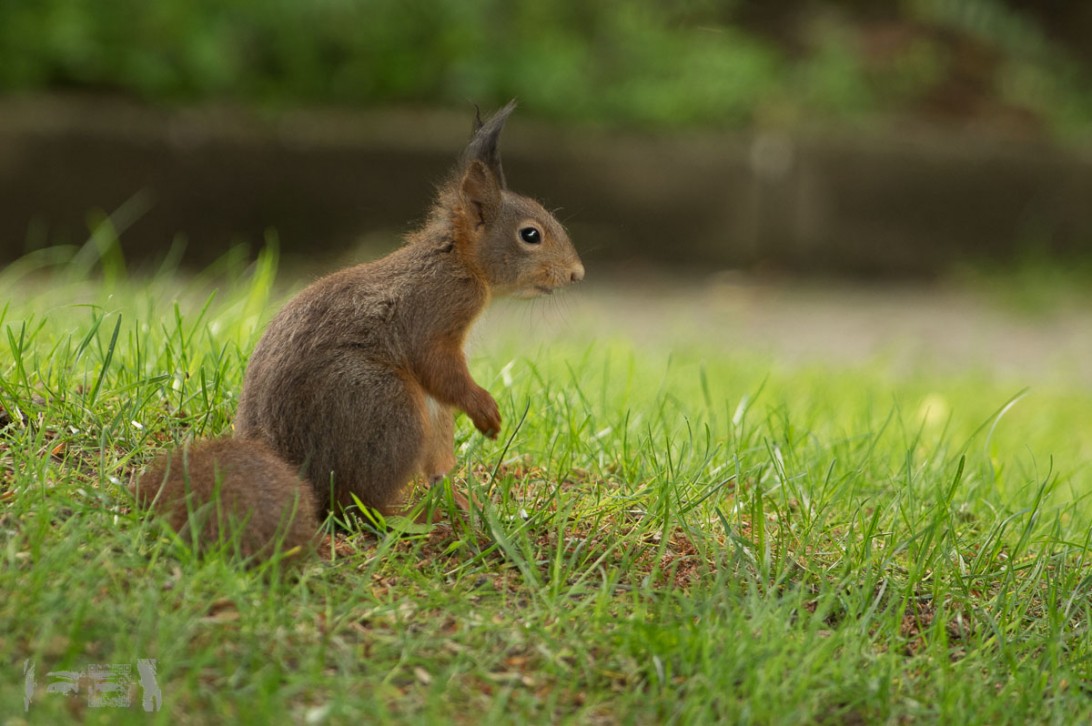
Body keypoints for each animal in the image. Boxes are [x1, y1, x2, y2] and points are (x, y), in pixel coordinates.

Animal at [130, 102, 585, 563]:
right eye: (531, 235)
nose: (576, 274)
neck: (457, 261)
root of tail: (280, 452)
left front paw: (464, 493)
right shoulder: (435, 315)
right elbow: (438, 367)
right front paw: (486, 410)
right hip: (385, 406)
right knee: (358, 504)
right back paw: (410, 521)